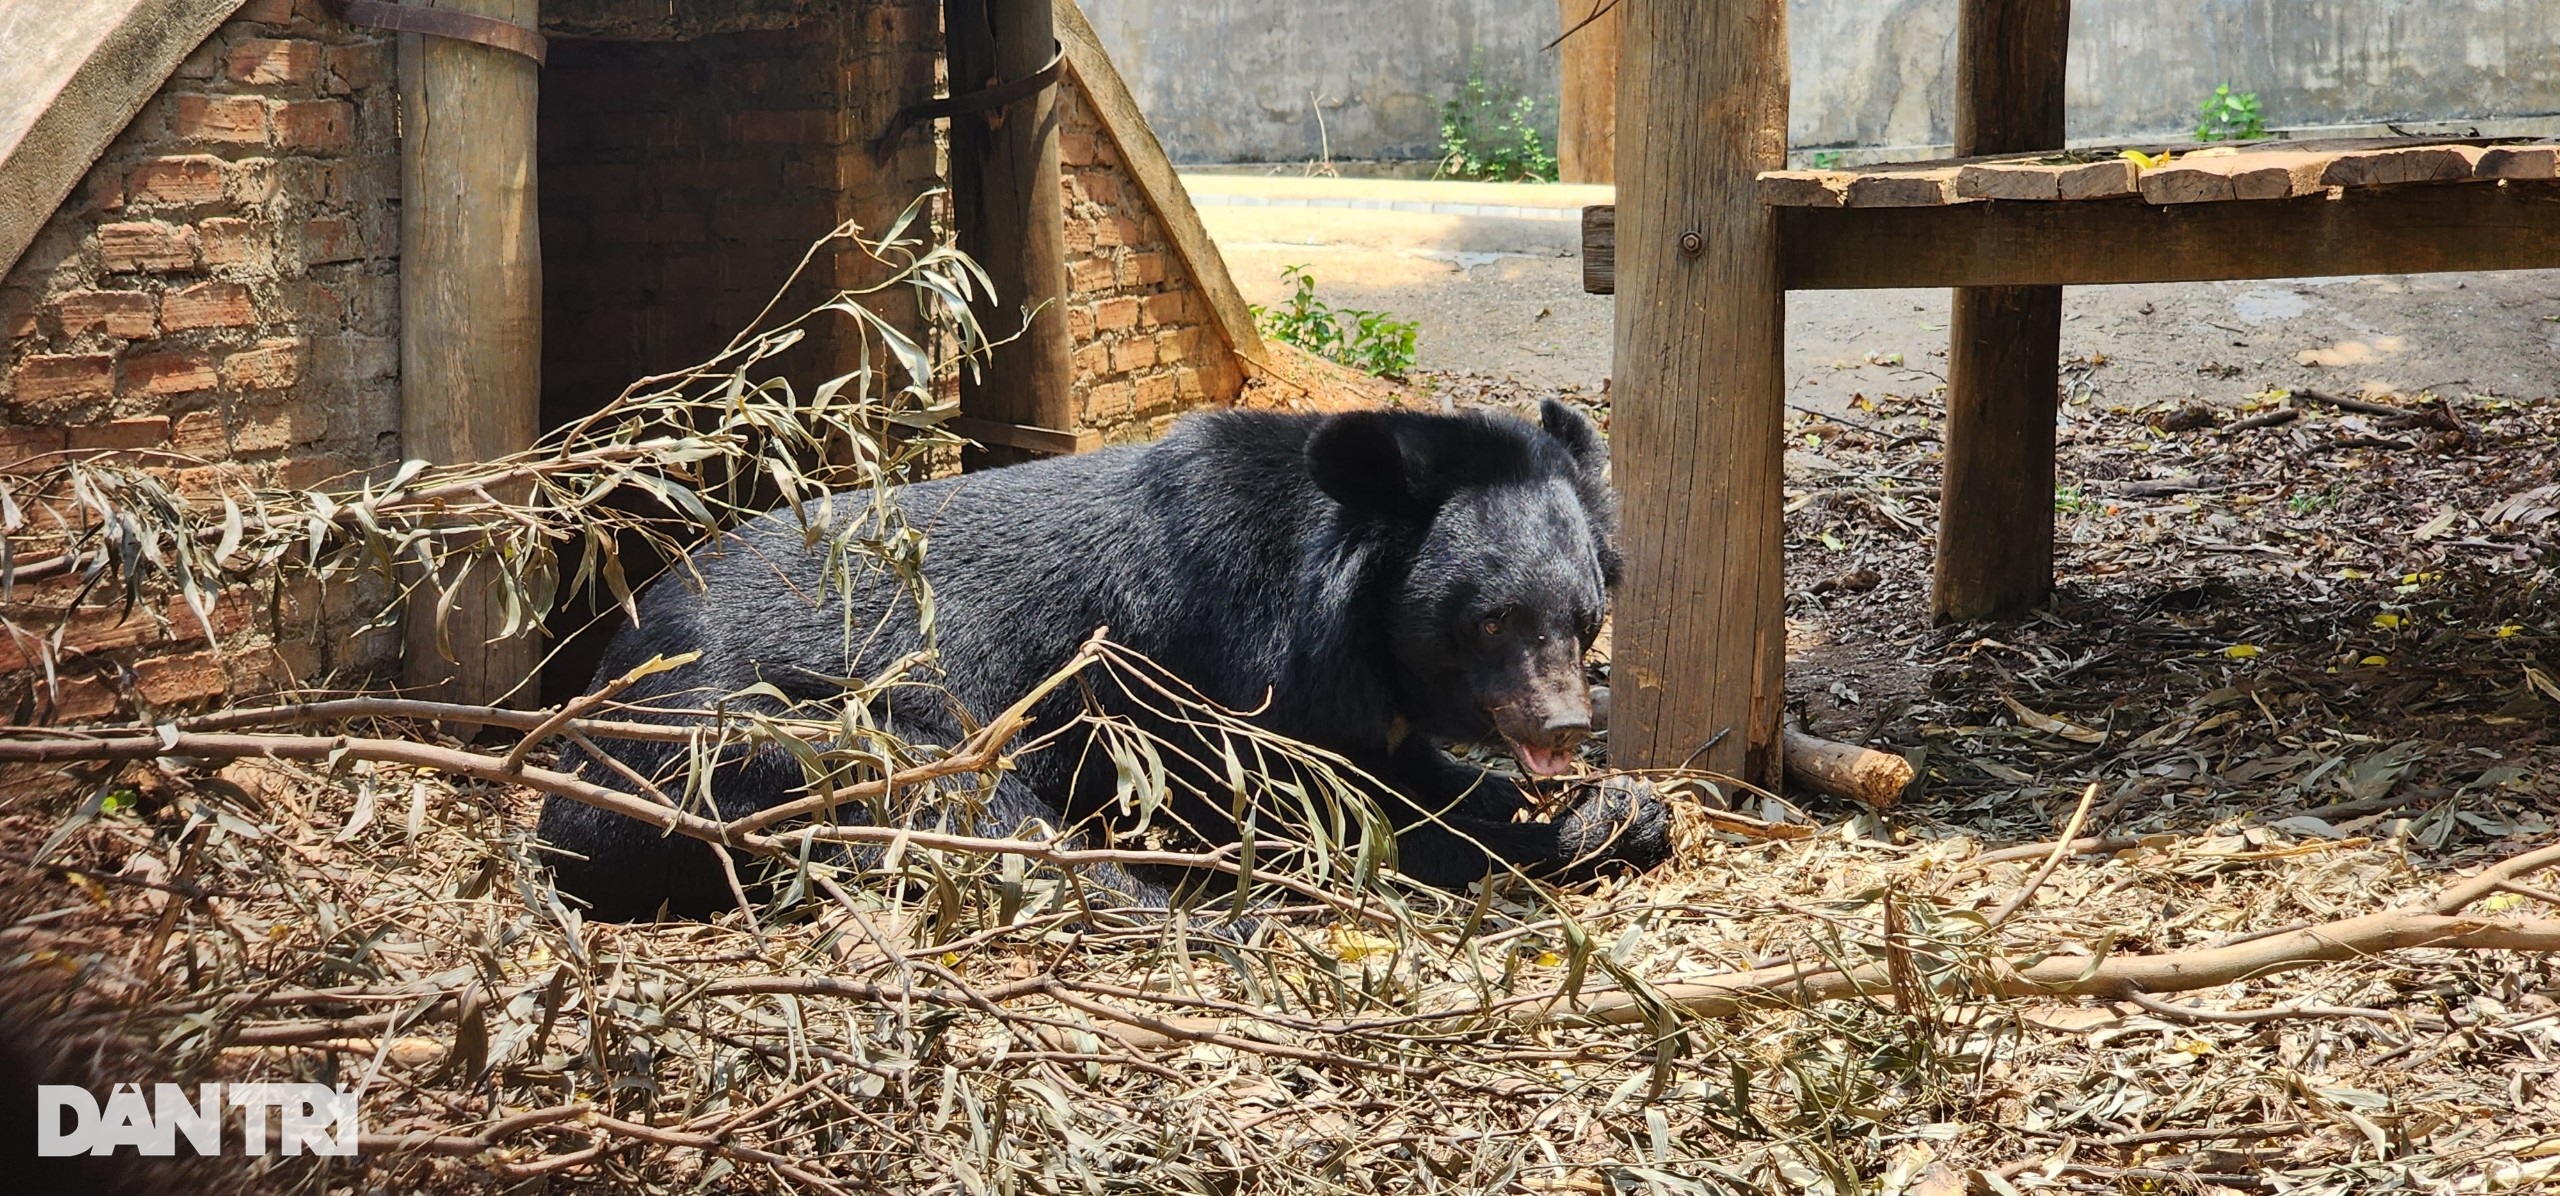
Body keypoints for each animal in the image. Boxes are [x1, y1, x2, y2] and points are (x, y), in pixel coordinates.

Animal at [540, 399, 1679, 916]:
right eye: (1488, 622)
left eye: (1583, 617)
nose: (1564, 724)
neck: (1342, 611)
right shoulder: (1223, 678)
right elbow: (1332, 816)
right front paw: (1591, 825)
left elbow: (1407, 773)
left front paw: (1607, 800)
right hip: (779, 739)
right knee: (983, 824)